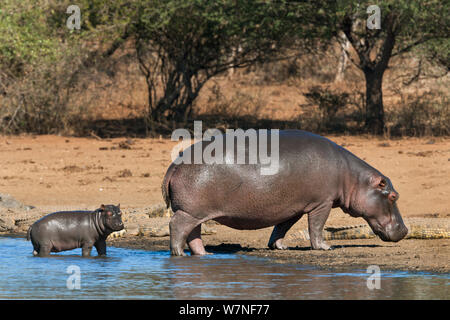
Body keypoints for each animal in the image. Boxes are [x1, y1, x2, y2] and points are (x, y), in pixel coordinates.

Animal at [163, 129, 410, 256]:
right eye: (393, 196)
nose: (405, 229)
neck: (353, 178)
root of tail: (175, 163)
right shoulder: (322, 203)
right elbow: (316, 226)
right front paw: (325, 247)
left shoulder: (294, 207)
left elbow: (282, 226)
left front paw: (280, 247)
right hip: (190, 211)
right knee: (177, 227)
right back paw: (179, 254)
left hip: (195, 212)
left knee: (194, 234)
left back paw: (205, 255)